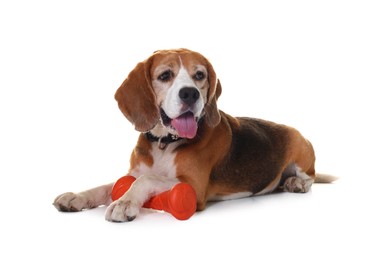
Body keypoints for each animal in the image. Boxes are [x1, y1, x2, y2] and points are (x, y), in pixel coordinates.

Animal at [52, 48, 336, 221]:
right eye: (165, 75)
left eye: (199, 75)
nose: (190, 93)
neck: (164, 143)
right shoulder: (131, 173)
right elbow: (106, 186)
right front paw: (77, 196)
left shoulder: (193, 186)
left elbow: (145, 180)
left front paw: (125, 203)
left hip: (301, 151)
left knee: (309, 177)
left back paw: (296, 183)